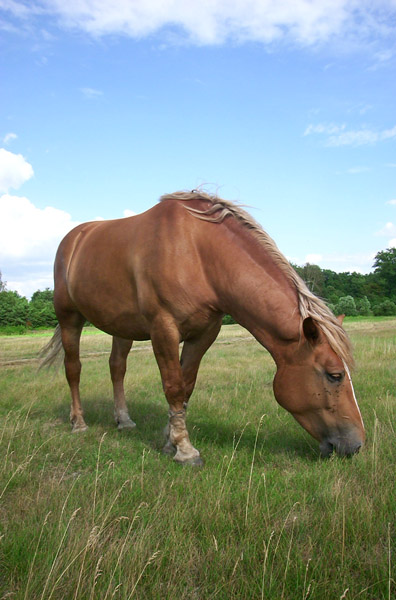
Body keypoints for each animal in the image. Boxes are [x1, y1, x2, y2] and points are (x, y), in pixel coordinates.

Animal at [40, 191, 366, 464]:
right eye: (335, 375)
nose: (357, 444)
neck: (198, 253)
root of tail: (74, 238)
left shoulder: (205, 333)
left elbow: (186, 386)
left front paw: (170, 441)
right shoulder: (164, 330)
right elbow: (173, 387)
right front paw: (185, 451)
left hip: (121, 326)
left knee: (117, 367)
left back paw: (124, 420)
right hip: (69, 318)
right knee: (73, 369)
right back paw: (78, 423)